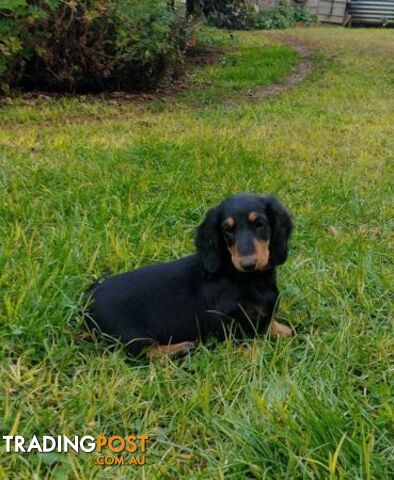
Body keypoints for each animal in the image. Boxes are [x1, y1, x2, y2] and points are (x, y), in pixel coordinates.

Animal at [87, 193, 294, 358]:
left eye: (259, 224)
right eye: (227, 230)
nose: (248, 264)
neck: (248, 279)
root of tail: (87, 301)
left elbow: (272, 325)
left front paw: (283, 330)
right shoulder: (225, 323)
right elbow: (244, 343)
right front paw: (255, 353)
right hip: (130, 334)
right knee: (143, 352)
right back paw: (181, 347)